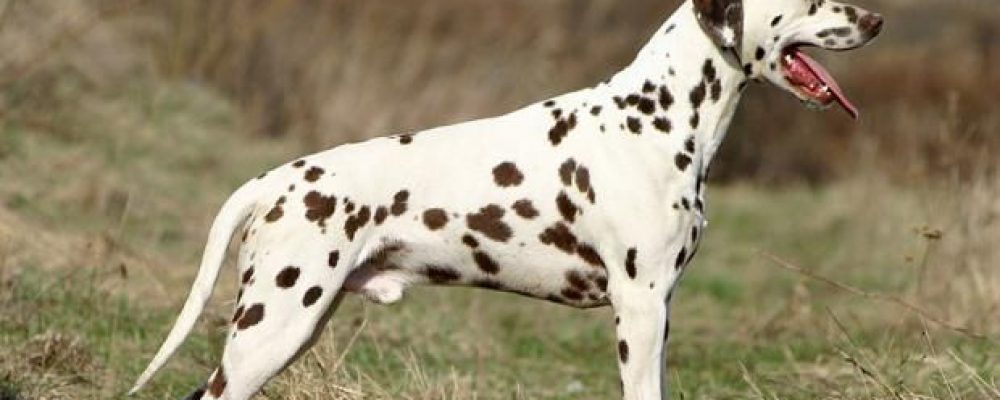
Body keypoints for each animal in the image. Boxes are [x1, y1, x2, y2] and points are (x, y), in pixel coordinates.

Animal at [129, 0, 882, 398]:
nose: (875, 18)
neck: (656, 117)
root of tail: (274, 180)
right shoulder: (639, 309)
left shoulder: (659, 311)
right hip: (272, 327)